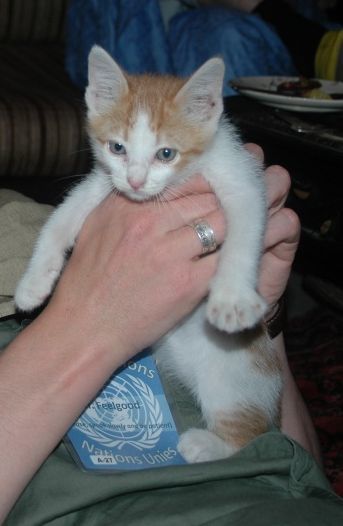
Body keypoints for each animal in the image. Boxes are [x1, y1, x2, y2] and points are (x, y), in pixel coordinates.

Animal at [14, 47, 282, 464]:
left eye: (166, 154)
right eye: (117, 148)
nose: (137, 182)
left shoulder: (241, 176)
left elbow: (246, 226)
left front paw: (232, 298)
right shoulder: (104, 183)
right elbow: (60, 220)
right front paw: (32, 285)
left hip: (234, 372)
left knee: (252, 434)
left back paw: (206, 443)